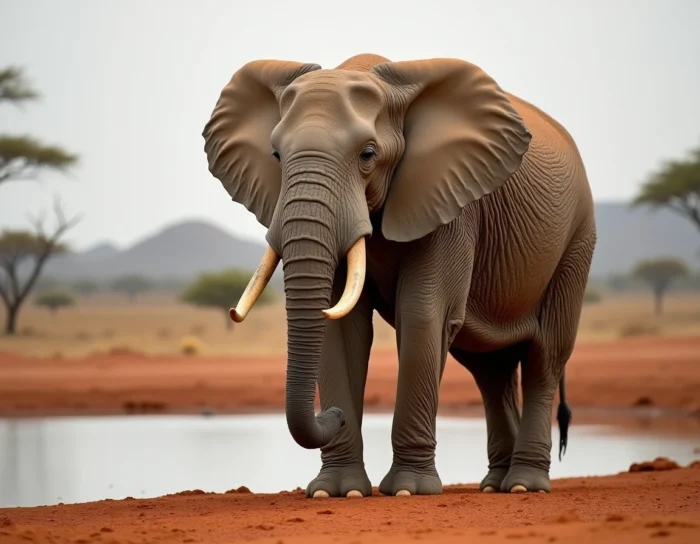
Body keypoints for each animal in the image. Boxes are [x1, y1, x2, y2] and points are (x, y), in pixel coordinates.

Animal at [201, 53, 596, 498]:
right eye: (276, 156)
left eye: (368, 154)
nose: (333, 414)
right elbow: (339, 326)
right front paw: (336, 491)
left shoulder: (450, 203)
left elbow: (422, 314)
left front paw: (409, 489)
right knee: (489, 370)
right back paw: (495, 484)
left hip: (577, 239)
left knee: (545, 355)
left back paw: (524, 485)